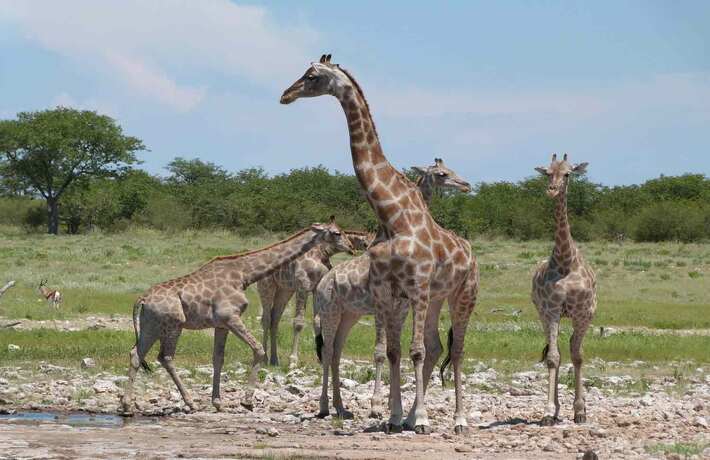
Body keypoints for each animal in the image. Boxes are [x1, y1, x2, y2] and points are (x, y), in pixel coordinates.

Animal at [119, 221, 344, 416]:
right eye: (336, 233)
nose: (349, 246)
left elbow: (218, 358)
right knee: (166, 357)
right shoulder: (231, 317)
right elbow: (258, 350)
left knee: (136, 354)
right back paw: (190, 403)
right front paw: (247, 401)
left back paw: (127, 405)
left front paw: (218, 403)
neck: (244, 274)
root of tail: (141, 299)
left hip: (151, 325)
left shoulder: (221, 324)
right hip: (173, 325)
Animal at [256, 217, 364, 368]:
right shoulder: (303, 286)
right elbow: (299, 323)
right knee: (266, 319)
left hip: (284, 290)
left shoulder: (316, 288)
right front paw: (293, 360)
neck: (320, 254)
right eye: (337, 233)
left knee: (274, 319)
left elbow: (317, 321)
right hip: (266, 286)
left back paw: (274, 360)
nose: (351, 248)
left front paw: (321, 359)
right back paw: (265, 358)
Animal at [312, 159, 472, 424]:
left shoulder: (402, 306)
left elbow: (395, 349)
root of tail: (321, 284)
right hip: (329, 311)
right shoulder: (382, 305)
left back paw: (341, 407)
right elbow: (380, 351)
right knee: (327, 349)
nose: (465, 184)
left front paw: (391, 405)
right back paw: (325, 406)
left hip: (349, 315)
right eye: (442, 174)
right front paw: (378, 406)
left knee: (335, 351)